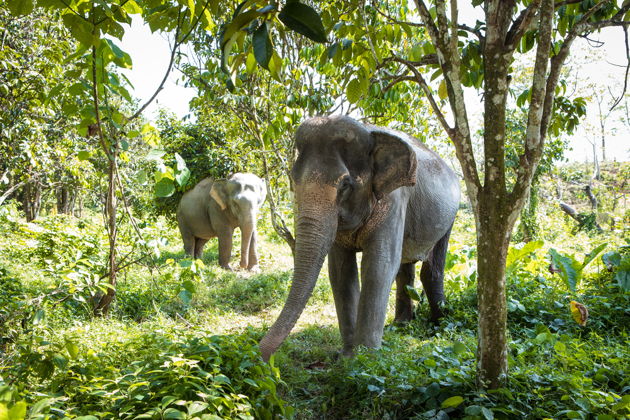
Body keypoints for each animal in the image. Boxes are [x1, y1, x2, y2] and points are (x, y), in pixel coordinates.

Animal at [260, 115, 462, 360]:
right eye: (293, 180)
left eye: (345, 185)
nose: (259, 356)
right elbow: (341, 271)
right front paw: (346, 355)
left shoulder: (394, 199)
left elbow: (379, 265)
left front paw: (365, 358)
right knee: (405, 269)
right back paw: (400, 326)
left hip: (450, 215)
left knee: (431, 269)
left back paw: (439, 325)